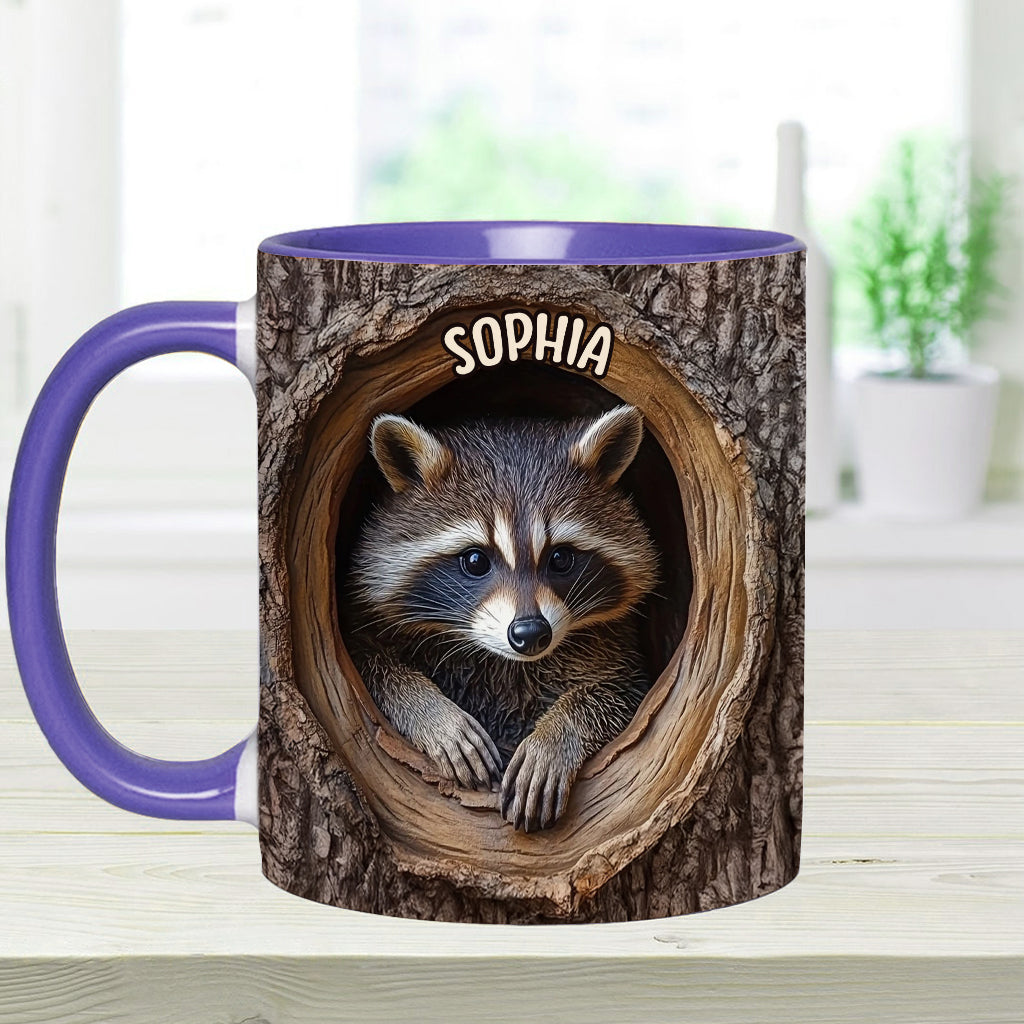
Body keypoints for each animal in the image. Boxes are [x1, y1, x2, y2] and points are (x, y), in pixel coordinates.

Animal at [344, 405, 658, 832]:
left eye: (561, 558)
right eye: (476, 560)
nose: (530, 632)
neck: (504, 660)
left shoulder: (612, 649)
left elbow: (617, 693)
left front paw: (556, 735)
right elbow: (371, 664)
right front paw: (433, 713)